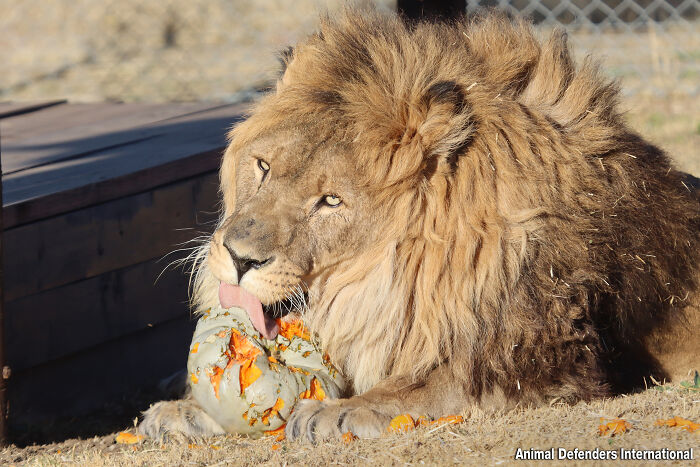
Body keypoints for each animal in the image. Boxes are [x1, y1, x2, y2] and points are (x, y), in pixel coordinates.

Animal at [139, 9, 700, 442]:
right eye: (263, 167)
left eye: (330, 201)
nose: (238, 258)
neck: (386, 279)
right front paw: (183, 411)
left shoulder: (548, 362)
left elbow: (431, 385)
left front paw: (339, 411)